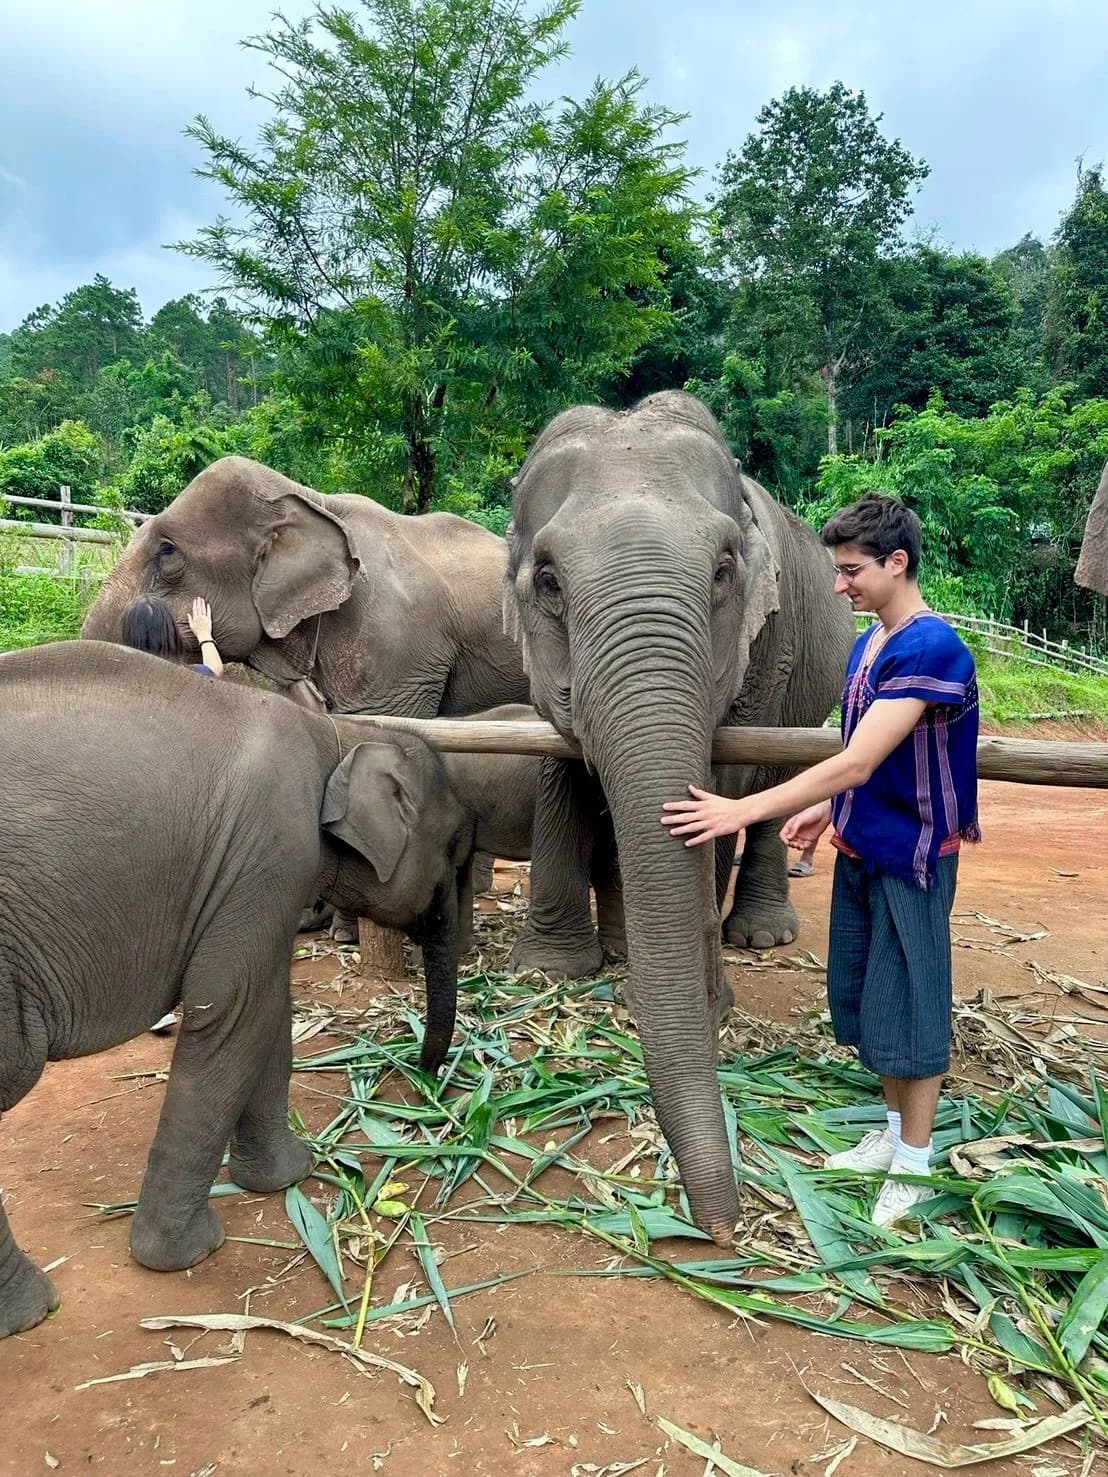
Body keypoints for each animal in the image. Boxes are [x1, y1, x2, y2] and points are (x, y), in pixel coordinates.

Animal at [0, 639, 470, 1340]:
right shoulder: (272, 848)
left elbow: (270, 1011)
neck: (341, 735)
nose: (425, 1077)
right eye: (455, 852)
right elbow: (234, 1013)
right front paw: (189, 1253)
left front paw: (287, 1176)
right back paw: (34, 1311)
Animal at [504, 391, 854, 1242]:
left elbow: (726, 777)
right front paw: (553, 971)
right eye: (549, 580)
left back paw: (758, 936)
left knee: (775, 784)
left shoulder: (766, 645)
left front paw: (710, 1003)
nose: (724, 1228)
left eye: (724, 569)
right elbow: (558, 751)